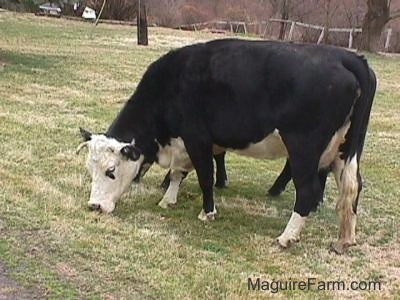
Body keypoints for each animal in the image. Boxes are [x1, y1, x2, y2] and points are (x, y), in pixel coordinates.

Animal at [76, 38, 376, 253]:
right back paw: (344, 240)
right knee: (351, 187)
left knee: (308, 191)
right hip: (343, 150)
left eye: (111, 171)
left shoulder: (197, 138)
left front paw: (207, 212)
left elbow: (205, 177)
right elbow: (177, 173)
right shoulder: (185, 143)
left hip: (304, 148)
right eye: (91, 170)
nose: (94, 206)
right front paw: (168, 199)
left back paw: (287, 236)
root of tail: (346, 56)